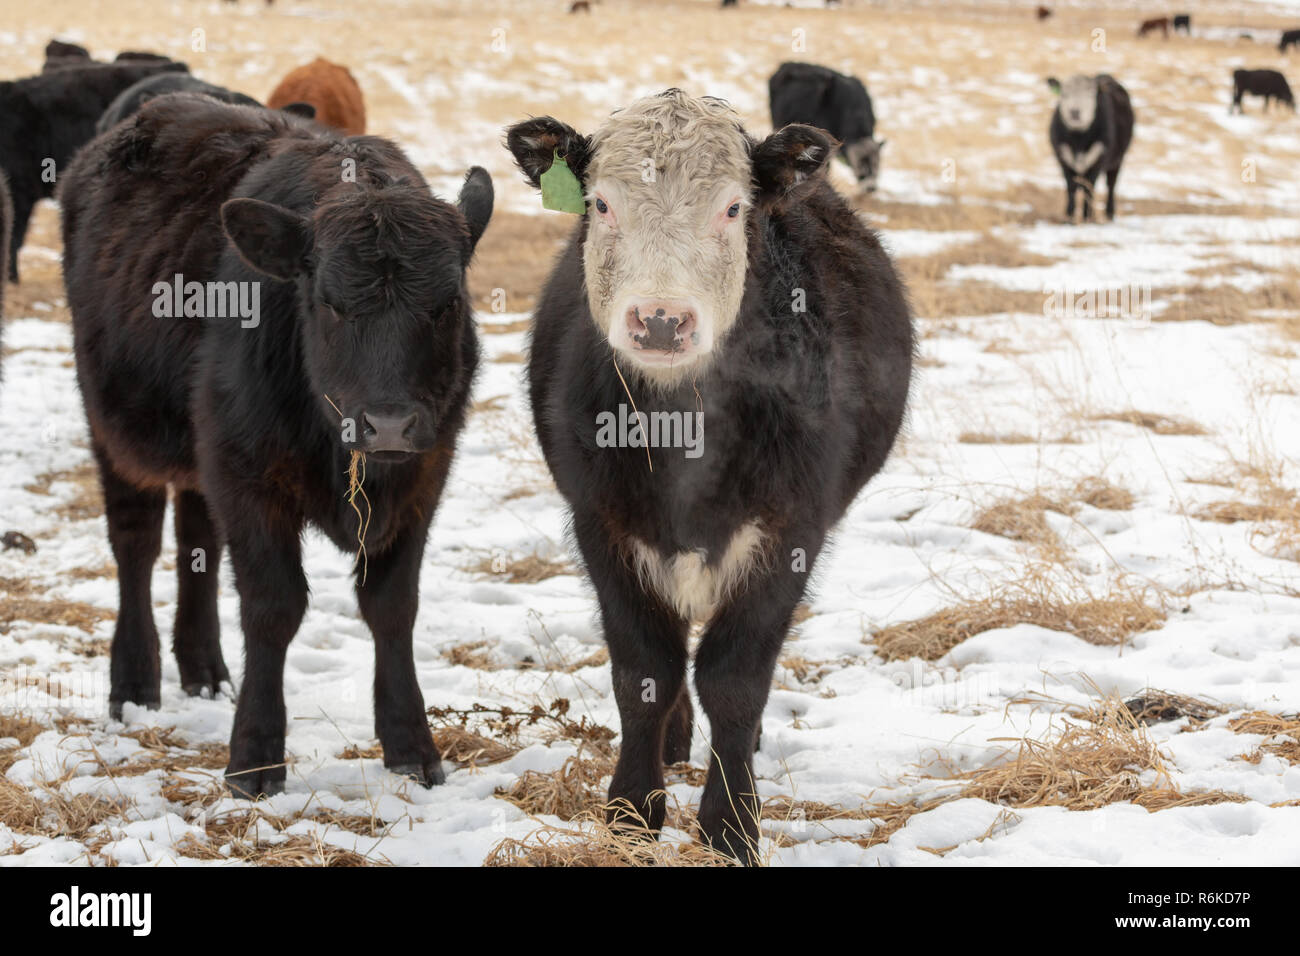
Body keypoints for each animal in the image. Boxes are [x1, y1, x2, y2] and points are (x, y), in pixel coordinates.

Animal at [57, 93, 491, 796]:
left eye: (447, 302)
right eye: (331, 303)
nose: (389, 424)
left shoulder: (424, 476)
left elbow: (392, 607)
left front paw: (411, 745)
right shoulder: (248, 477)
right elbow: (272, 606)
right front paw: (254, 757)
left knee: (197, 541)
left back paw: (204, 669)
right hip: (114, 425)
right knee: (135, 546)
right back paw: (134, 683)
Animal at [506, 91, 915, 868]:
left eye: (731, 208)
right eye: (601, 203)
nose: (662, 321)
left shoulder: (790, 532)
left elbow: (734, 680)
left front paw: (730, 824)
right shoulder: (600, 523)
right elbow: (645, 673)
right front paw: (632, 813)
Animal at [1040, 74, 1133, 222]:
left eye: (1090, 95)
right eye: (1064, 94)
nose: (1075, 112)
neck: (1079, 140)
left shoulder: (1098, 159)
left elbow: (1089, 188)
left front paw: (1086, 217)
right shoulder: (1063, 158)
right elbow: (1071, 186)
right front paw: (1069, 217)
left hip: (1118, 159)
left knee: (1111, 185)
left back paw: (1109, 214)